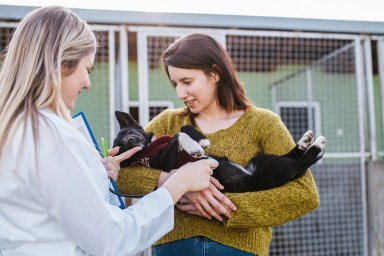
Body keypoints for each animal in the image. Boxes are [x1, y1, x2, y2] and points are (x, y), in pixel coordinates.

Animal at [112, 110, 326, 192]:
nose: (130, 140)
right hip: (273, 170)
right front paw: (195, 148)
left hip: (262, 160)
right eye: (121, 147)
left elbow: (183, 128)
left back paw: (305, 141)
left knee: (291, 155)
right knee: (299, 163)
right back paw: (316, 145)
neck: (149, 147)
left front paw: (202, 140)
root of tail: (250, 175)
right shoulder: (163, 164)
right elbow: (177, 136)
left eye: (129, 132)